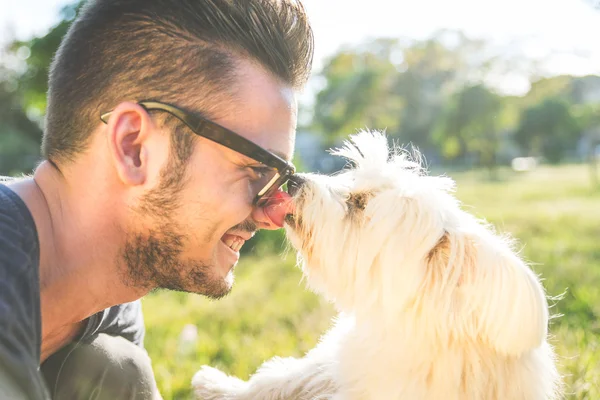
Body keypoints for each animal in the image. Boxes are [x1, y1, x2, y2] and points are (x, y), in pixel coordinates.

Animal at [193, 131, 564, 400]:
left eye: (359, 203)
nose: (295, 180)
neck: (400, 325)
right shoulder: (339, 364)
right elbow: (285, 376)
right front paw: (220, 386)